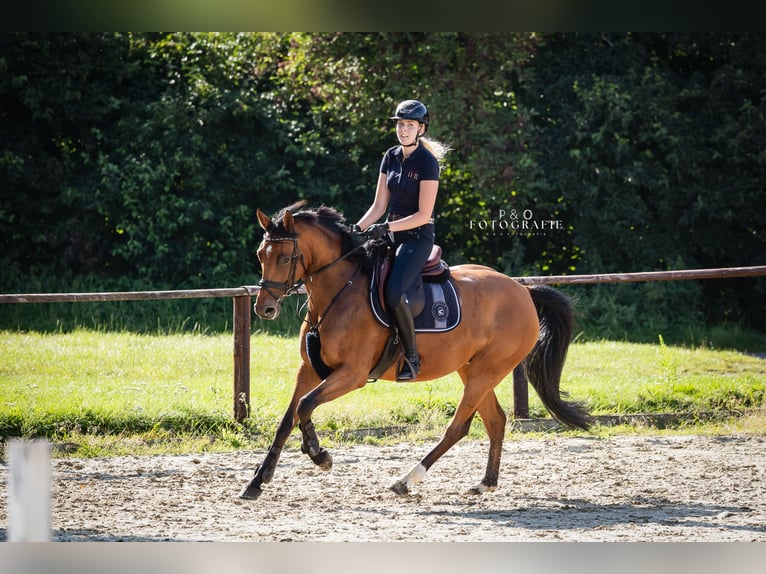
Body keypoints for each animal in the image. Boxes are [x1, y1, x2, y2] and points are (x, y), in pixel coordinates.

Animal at [240, 202, 592, 504]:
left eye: (285, 258)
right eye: (260, 255)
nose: (264, 308)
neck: (338, 292)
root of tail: (523, 290)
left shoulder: (352, 374)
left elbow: (305, 405)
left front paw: (319, 455)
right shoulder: (309, 369)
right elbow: (289, 418)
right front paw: (257, 482)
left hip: (487, 370)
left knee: (458, 427)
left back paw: (406, 481)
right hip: (472, 369)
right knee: (495, 420)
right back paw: (484, 484)